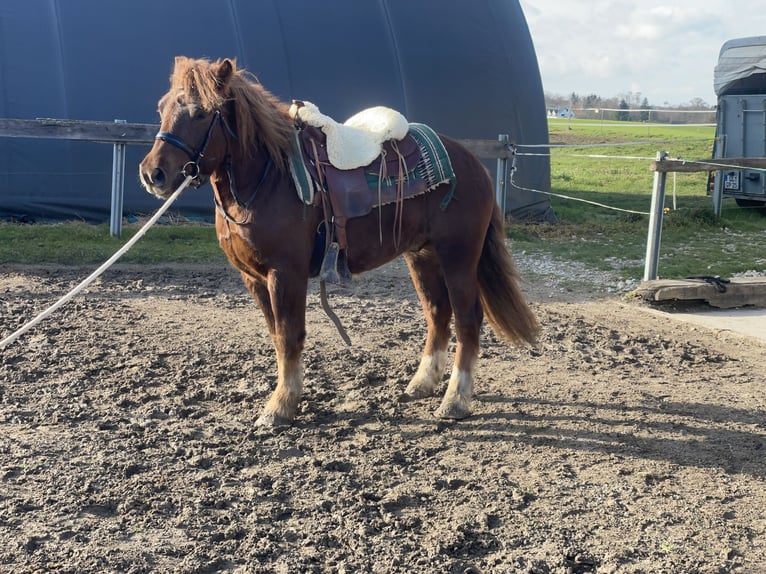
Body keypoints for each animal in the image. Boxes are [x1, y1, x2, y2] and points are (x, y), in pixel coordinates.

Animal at [142, 57, 540, 428]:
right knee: (437, 314)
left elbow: (289, 336)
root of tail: (472, 162)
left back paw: (455, 400)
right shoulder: (253, 278)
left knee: (468, 319)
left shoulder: (285, 273)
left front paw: (280, 407)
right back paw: (422, 383)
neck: (269, 179)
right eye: (161, 108)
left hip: (458, 257)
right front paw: (287, 397)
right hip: (422, 256)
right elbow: (276, 336)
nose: (152, 173)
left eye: (199, 112)